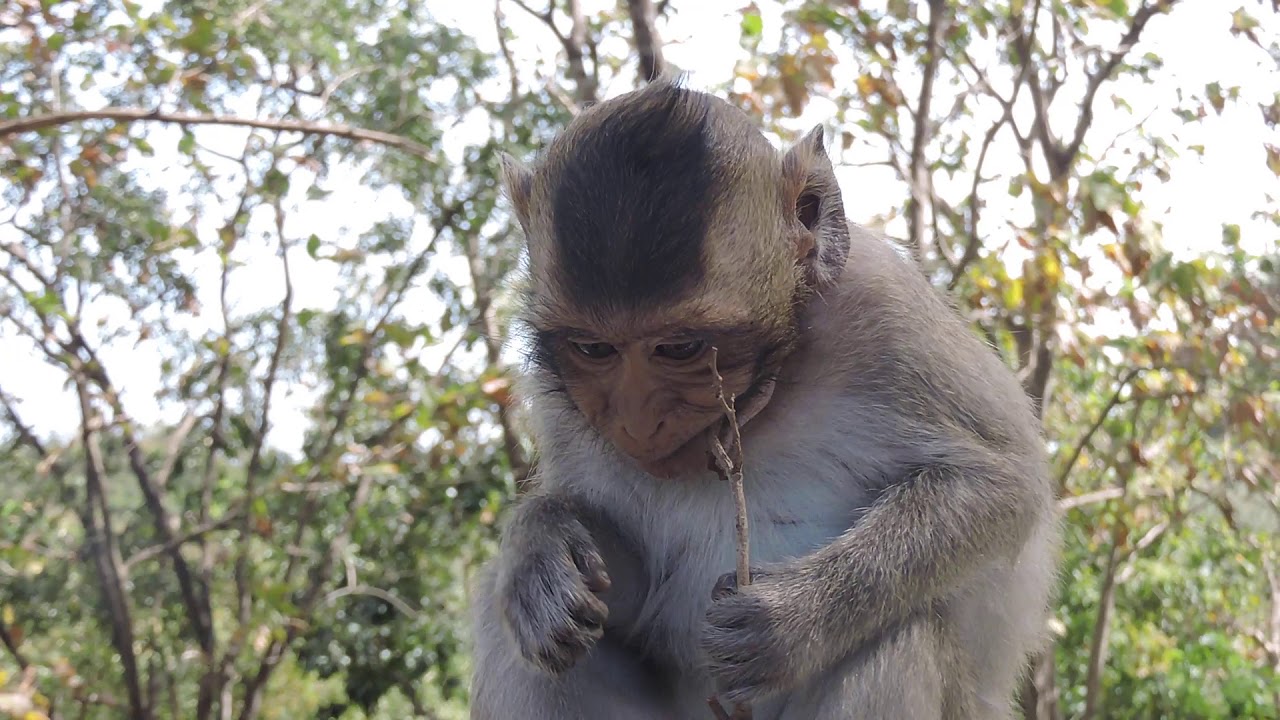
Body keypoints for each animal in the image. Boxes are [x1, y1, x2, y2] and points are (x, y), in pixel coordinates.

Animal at [468, 78, 1060, 720]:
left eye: (680, 348)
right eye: (594, 348)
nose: (638, 423)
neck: (770, 395)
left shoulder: (885, 305)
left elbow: (1003, 481)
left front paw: (791, 623)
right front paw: (540, 549)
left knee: (900, 633)